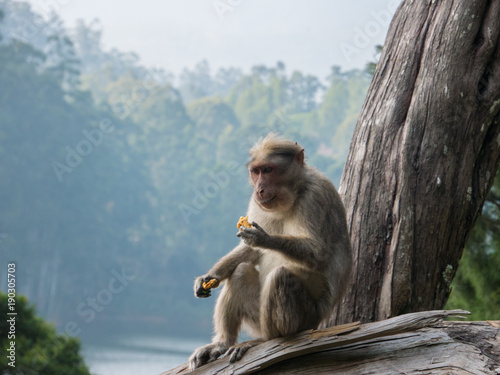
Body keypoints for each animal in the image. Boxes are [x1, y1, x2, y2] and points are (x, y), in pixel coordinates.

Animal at [188, 134, 352, 372]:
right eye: (256, 171)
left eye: (268, 170)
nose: (259, 188)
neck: (294, 192)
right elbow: (250, 252)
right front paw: (209, 277)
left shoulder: (315, 197)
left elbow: (318, 252)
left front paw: (263, 238)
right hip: (258, 317)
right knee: (242, 272)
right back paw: (223, 343)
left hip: (306, 319)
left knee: (280, 277)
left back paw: (266, 340)